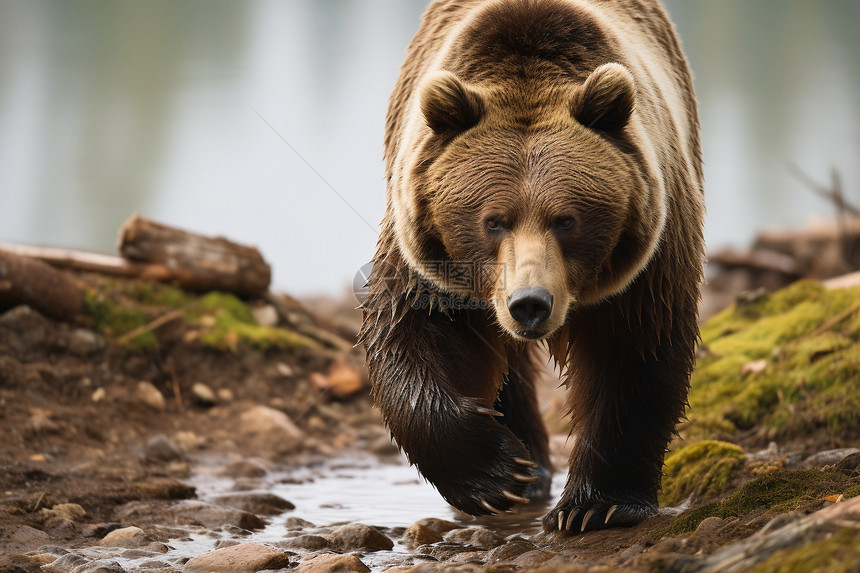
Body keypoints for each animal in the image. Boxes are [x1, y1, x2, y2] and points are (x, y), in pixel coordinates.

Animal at [360, 0, 704, 532]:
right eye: (493, 220)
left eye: (566, 219)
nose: (530, 304)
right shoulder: (427, 256)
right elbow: (411, 335)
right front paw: (496, 474)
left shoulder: (650, 254)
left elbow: (636, 351)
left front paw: (596, 504)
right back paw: (529, 469)